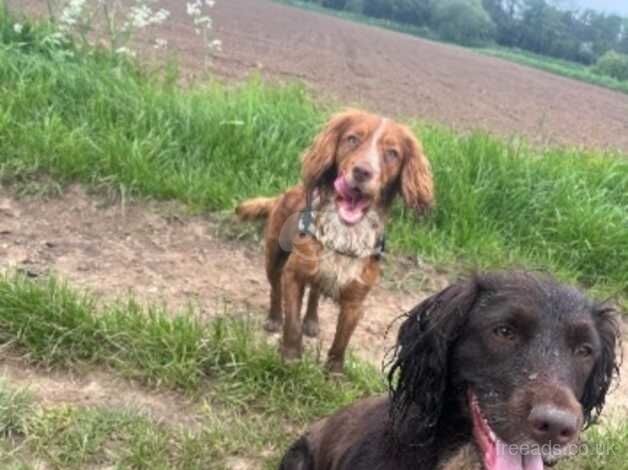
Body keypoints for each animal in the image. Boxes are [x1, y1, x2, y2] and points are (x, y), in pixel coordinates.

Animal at [236, 108, 432, 372]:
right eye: (352, 139)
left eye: (392, 153)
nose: (362, 171)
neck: (345, 233)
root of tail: (287, 192)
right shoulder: (293, 275)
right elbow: (292, 322)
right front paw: (290, 356)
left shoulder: (356, 299)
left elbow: (341, 341)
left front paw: (334, 372)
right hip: (274, 256)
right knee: (275, 289)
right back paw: (274, 317)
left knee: (314, 294)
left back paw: (312, 321)